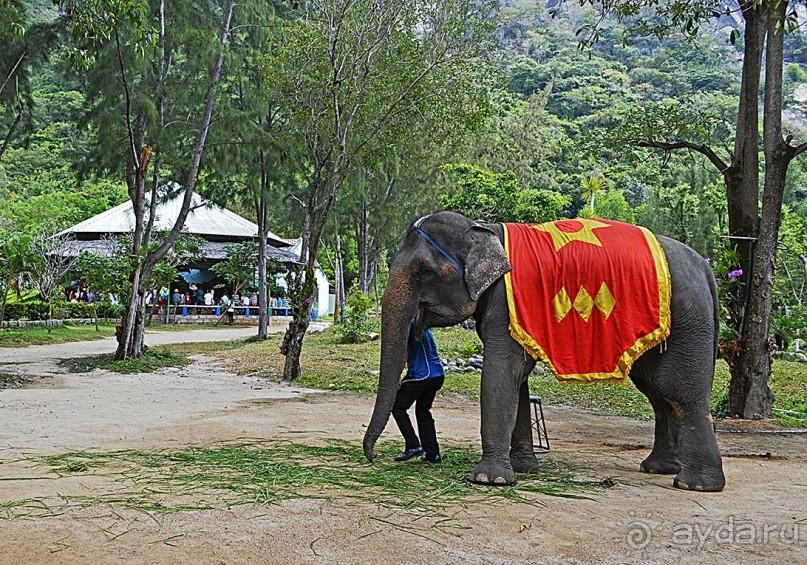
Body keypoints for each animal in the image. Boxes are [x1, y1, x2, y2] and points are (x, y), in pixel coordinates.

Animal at [362, 209, 728, 492]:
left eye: (423, 271)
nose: (374, 457)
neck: (484, 228)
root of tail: (706, 267)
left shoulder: (504, 304)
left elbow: (500, 374)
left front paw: (488, 480)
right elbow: (518, 380)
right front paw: (524, 469)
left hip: (687, 319)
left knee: (680, 390)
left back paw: (695, 484)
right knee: (657, 391)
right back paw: (659, 468)